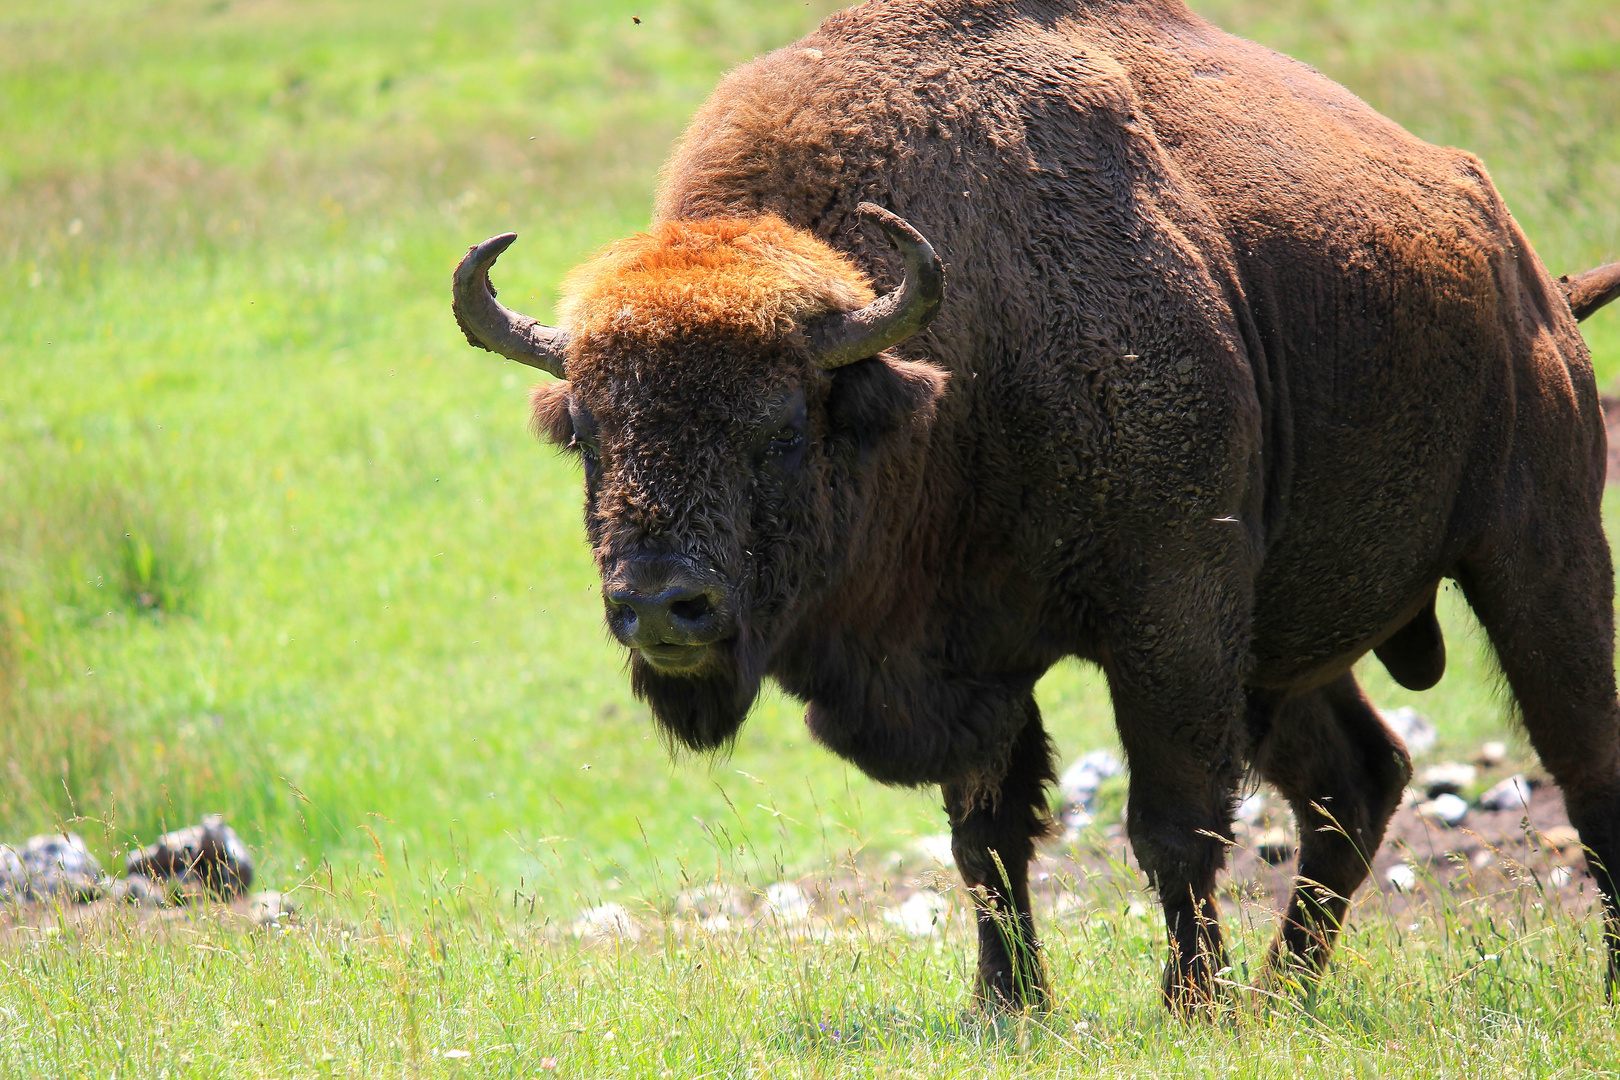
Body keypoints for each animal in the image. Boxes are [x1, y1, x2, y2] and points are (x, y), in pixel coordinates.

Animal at [450, 2, 1620, 1016]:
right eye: (590, 433)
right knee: (1360, 778)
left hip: (1537, 551)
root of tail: (1521, 265)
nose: (663, 607)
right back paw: (1282, 997)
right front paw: (1007, 1008)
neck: (942, 372)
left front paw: (1189, 1007)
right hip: (1289, 647)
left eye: (780, 427)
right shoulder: (976, 662)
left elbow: (1171, 827)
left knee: (1580, 763)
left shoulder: (1173, 615)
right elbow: (988, 842)